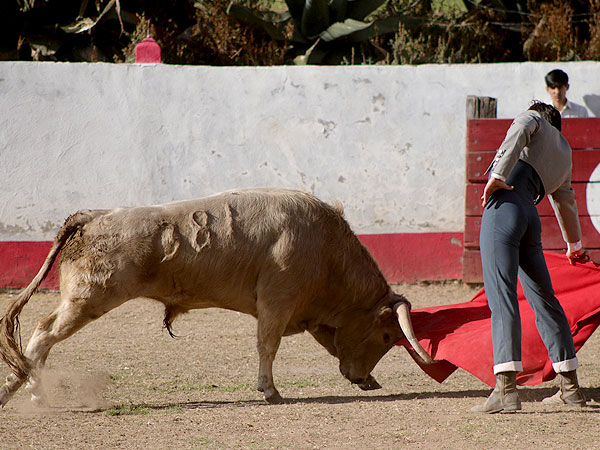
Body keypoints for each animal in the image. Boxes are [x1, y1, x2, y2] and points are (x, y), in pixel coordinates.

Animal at [0, 188, 432, 406]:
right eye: (387, 336)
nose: (364, 379)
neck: (328, 251)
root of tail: (94, 215)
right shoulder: (276, 302)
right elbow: (268, 345)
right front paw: (270, 391)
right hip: (88, 300)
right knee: (42, 334)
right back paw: (33, 392)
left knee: (41, 339)